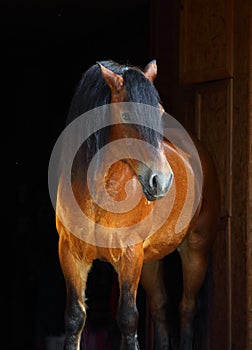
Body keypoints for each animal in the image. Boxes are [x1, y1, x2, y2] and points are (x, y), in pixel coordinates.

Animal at [51, 58, 220, 348]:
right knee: (160, 307)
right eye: (127, 115)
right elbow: (74, 317)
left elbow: (128, 319)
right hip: (150, 261)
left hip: (196, 250)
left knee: (187, 307)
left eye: (160, 113)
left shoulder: (129, 256)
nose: (161, 181)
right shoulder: (71, 254)